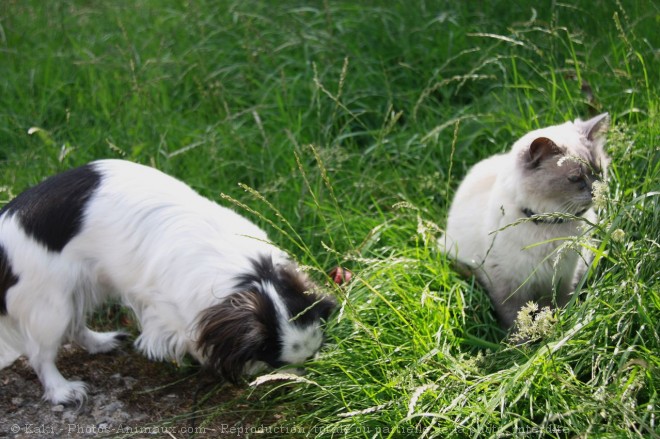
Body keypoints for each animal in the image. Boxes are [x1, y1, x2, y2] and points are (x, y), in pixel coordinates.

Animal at [0, 160, 336, 408]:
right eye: (278, 363)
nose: (304, 379)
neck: (254, 275)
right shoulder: (168, 307)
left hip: (82, 287)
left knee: (74, 325)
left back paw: (100, 342)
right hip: (50, 303)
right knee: (42, 354)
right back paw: (62, 390)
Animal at [440, 113, 612, 330]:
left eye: (599, 172)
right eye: (575, 178)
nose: (597, 192)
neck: (550, 224)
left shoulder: (562, 280)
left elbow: (558, 307)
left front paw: (558, 329)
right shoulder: (508, 287)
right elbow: (515, 321)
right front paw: (524, 340)